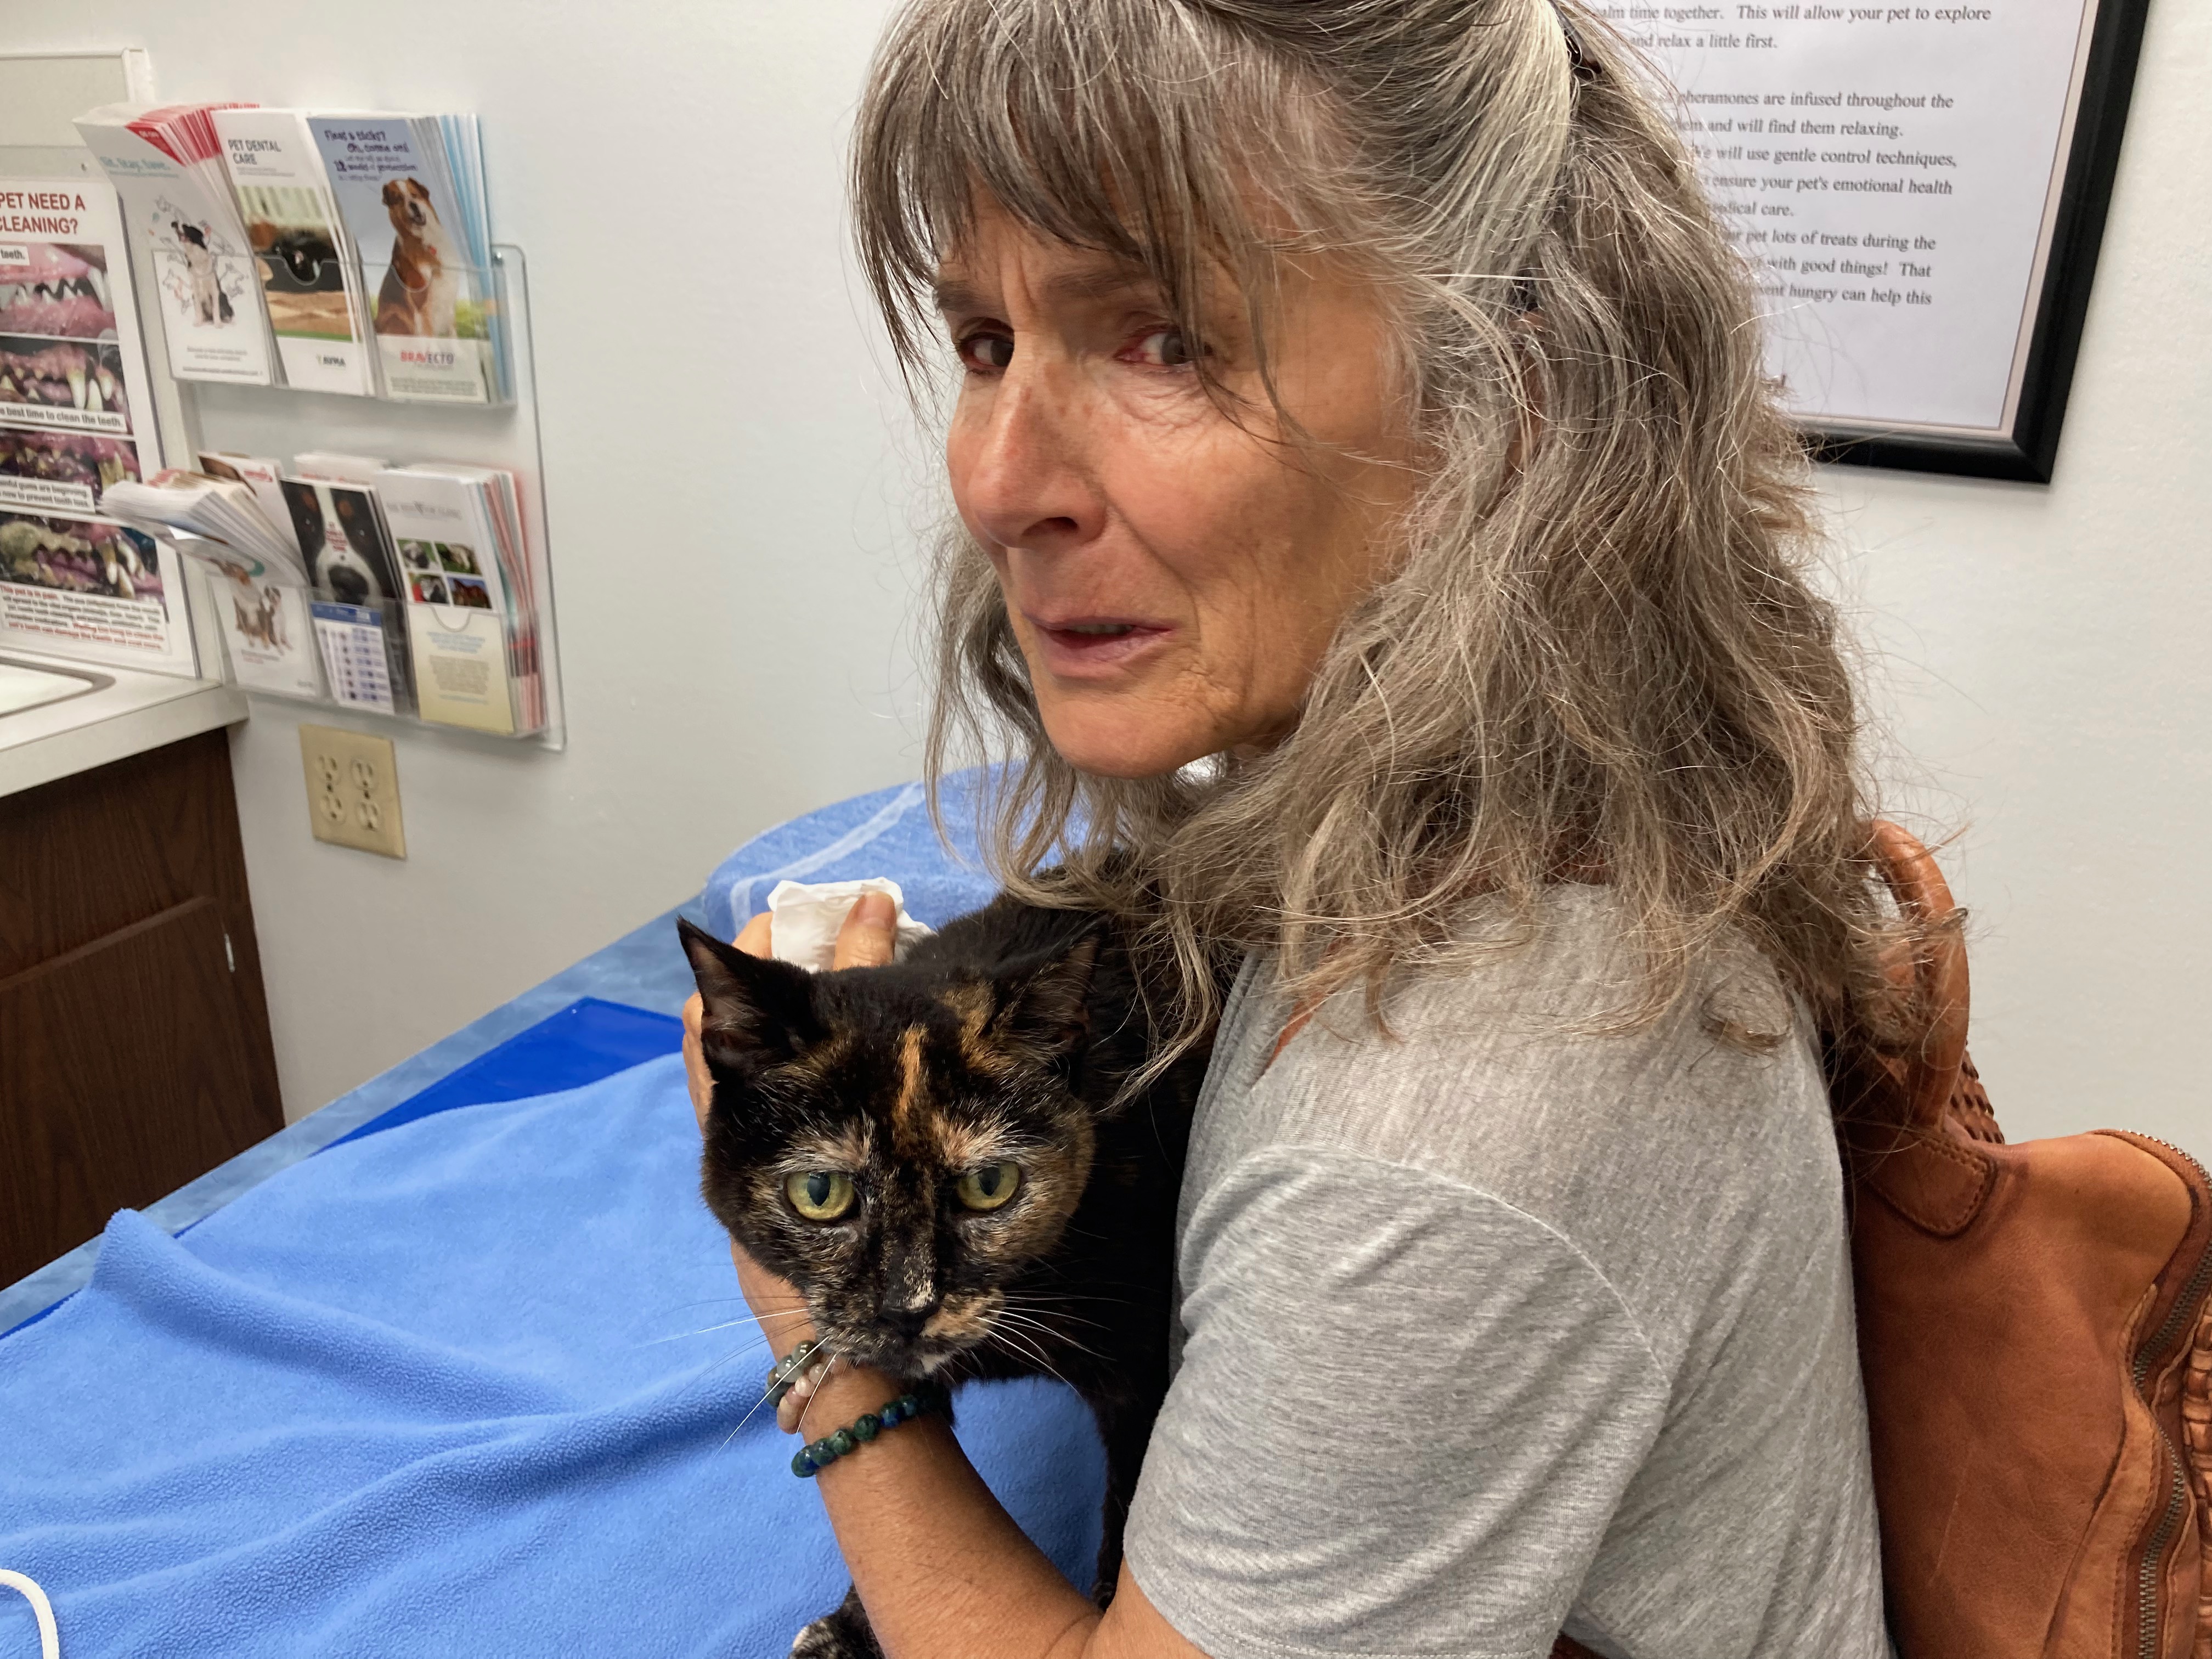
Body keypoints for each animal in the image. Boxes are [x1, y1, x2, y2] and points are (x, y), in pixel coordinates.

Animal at [681, 902, 1221, 1654]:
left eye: (990, 1185)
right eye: (819, 1193)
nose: (908, 1306)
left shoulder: (1146, 1379)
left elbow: (1130, 1507)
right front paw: (851, 1628)